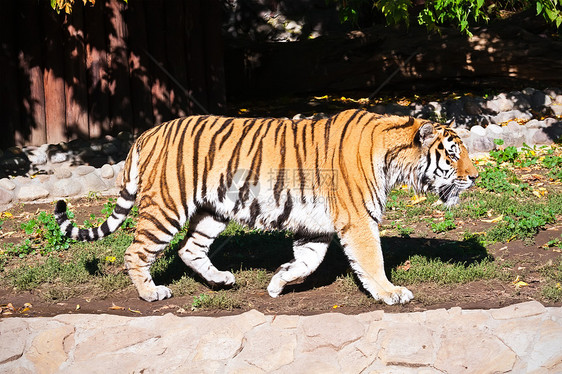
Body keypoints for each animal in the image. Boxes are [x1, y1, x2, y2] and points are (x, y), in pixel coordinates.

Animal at [54, 109, 476, 306]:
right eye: (453, 155)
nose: (474, 177)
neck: (392, 158)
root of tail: (147, 133)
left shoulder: (316, 227)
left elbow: (308, 262)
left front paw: (277, 283)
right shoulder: (358, 220)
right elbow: (372, 261)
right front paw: (391, 293)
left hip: (213, 212)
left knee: (189, 249)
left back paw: (222, 280)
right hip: (166, 207)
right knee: (135, 252)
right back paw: (150, 293)